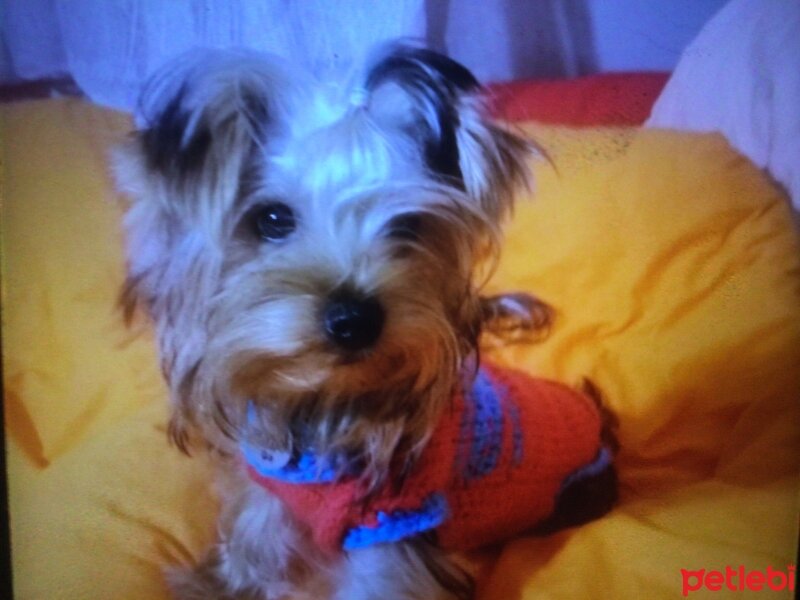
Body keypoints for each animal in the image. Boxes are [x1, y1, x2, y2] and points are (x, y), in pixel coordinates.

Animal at [114, 43, 620, 600]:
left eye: (409, 226)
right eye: (272, 219)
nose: (354, 319)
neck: (322, 404)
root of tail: (601, 422)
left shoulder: (395, 518)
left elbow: (380, 579)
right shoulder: (271, 488)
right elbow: (257, 533)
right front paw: (225, 583)